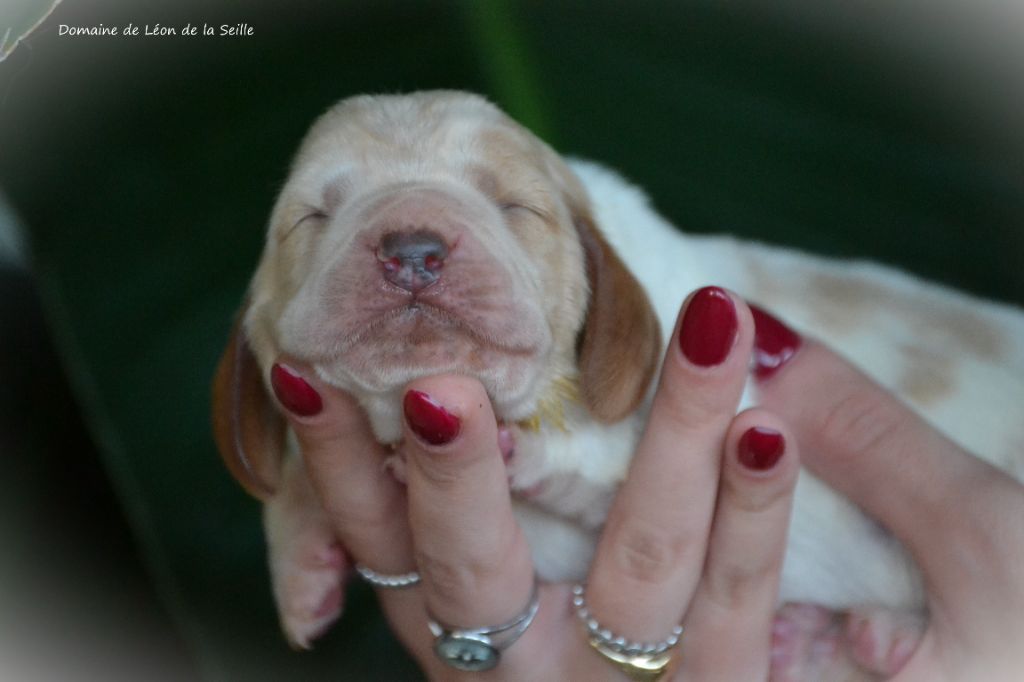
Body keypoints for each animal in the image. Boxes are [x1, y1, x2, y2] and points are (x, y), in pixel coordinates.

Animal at [209, 93, 1024, 671]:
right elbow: (290, 474)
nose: (412, 249)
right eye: (311, 217)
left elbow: (597, 460)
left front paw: (519, 453)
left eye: (516, 206)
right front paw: (303, 569)